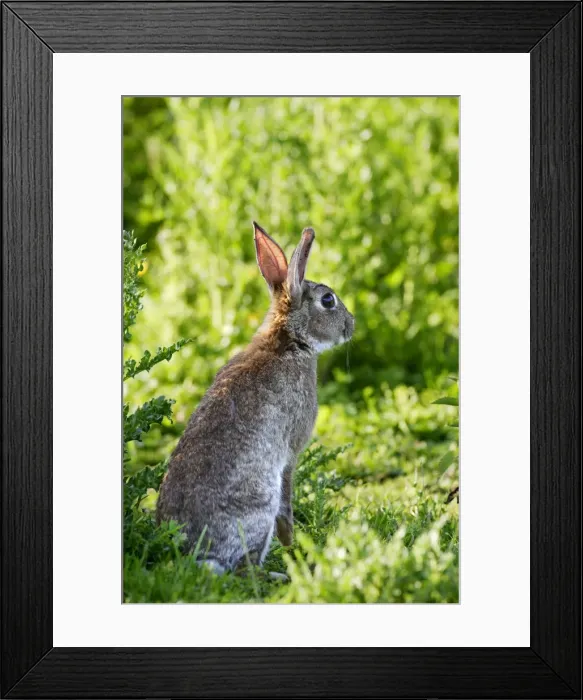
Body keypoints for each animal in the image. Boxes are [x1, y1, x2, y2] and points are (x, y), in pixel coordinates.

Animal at [156, 222, 354, 573]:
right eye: (328, 300)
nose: (351, 325)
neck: (289, 341)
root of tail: (193, 554)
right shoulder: (291, 452)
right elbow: (287, 503)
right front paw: (292, 545)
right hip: (260, 505)